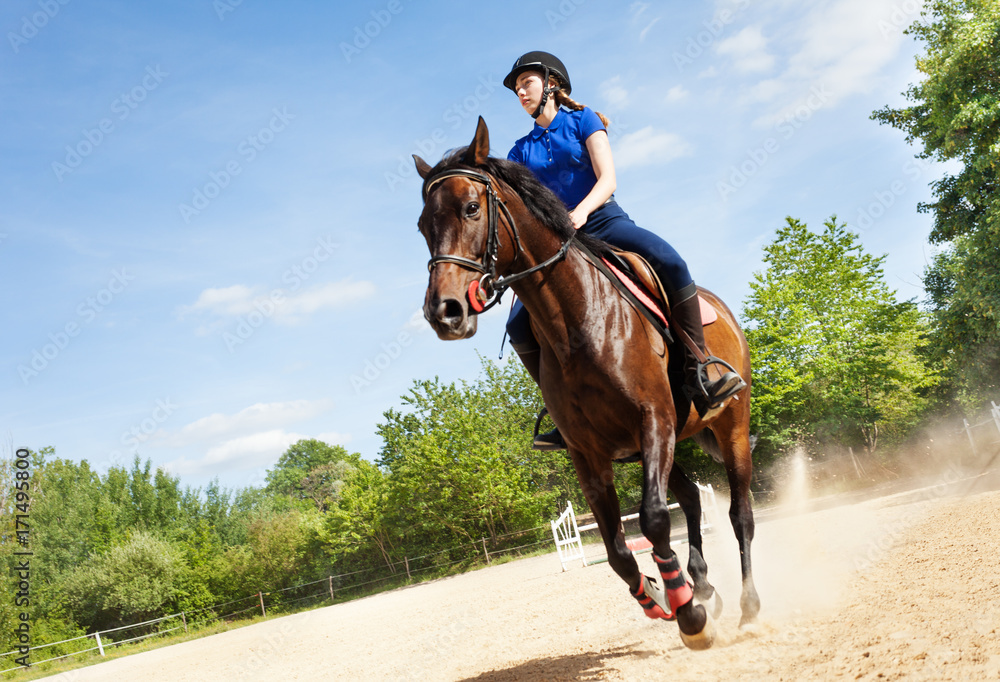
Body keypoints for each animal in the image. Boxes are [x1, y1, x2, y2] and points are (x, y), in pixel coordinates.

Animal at [414, 118, 756, 648]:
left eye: (471, 208)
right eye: (421, 225)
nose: (443, 312)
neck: (581, 322)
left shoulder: (653, 419)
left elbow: (654, 519)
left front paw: (690, 617)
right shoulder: (588, 452)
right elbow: (617, 550)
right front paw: (659, 595)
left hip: (730, 425)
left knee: (740, 515)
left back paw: (747, 606)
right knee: (692, 499)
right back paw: (701, 584)